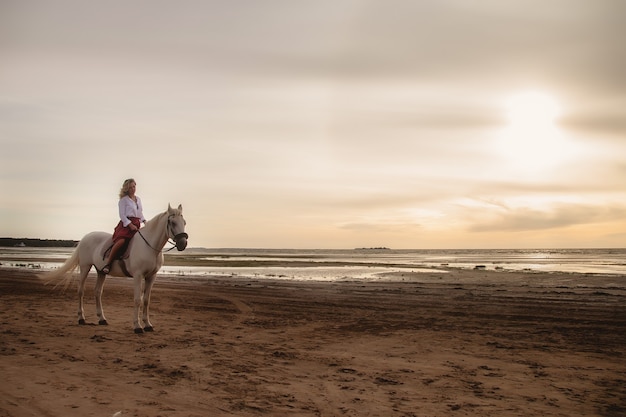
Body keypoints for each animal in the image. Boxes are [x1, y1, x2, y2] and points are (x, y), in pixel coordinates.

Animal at [44, 203, 188, 334]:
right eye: (173, 223)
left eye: (184, 222)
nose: (183, 244)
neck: (150, 247)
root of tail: (86, 237)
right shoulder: (138, 276)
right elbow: (138, 300)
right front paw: (137, 326)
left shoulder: (151, 277)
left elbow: (146, 300)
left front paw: (148, 325)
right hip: (85, 267)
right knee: (81, 291)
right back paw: (81, 318)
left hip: (101, 272)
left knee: (97, 292)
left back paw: (102, 319)